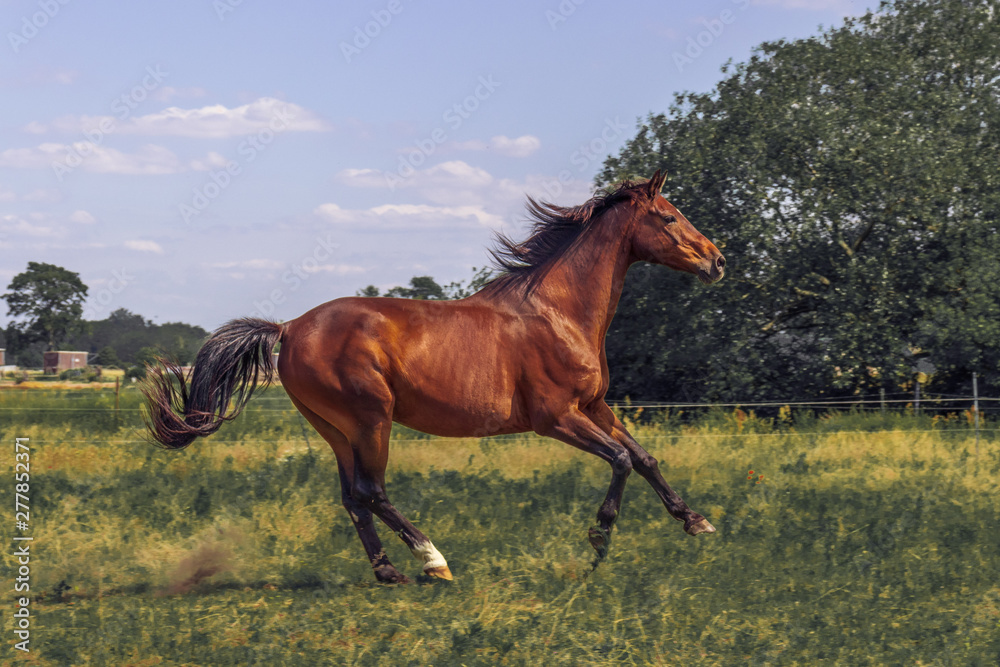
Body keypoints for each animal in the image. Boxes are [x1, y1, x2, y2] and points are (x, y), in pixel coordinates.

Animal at [142, 170, 726, 583]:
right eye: (670, 218)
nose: (718, 262)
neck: (557, 313)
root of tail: (289, 327)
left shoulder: (595, 406)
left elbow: (646, 457)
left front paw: (697, 522)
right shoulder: (556, 418)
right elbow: (622, 460)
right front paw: (599, 539)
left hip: (335, 430)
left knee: (352, 498)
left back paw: (388, 572)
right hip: (371, 419)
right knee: (372, 491)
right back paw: (433, 561)